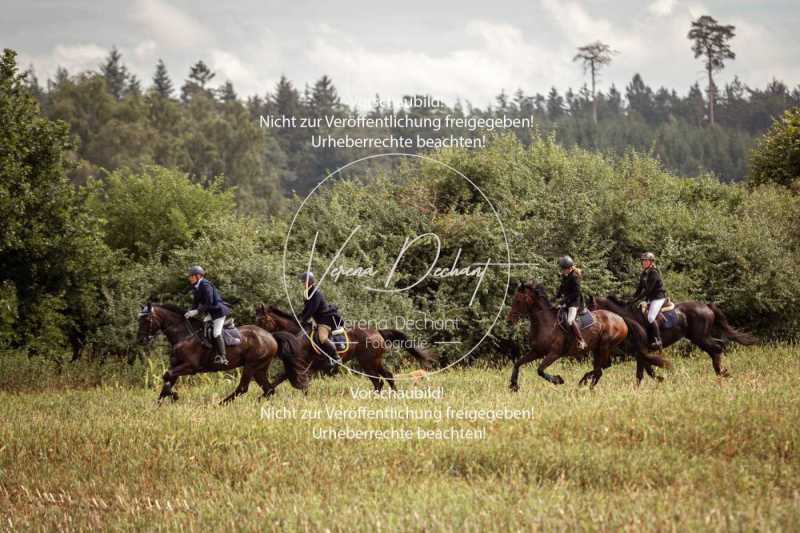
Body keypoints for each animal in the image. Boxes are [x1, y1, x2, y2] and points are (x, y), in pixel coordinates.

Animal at [138, 304, 294, 404]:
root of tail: (270, 336)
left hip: (251, 365)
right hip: (259, 368)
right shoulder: (177, 365)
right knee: (268, 389)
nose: (142, 339)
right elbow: (168, 379)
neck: (184, 335)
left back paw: (221, 403)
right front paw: (159, 403)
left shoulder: (190, 367)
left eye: (147, 320)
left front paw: (174, 396)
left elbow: (168, 376)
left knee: (243, 388)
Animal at [255, 304, 434, 390]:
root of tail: (377, 332)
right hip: (373, 361)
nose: (260, 338)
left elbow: (283, 379)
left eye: (261, 321)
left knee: (379, 381)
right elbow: (277, 380)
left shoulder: (305, 367)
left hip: (368, 362)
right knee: (387, 377)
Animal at [506, 280, 668, 388]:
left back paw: (585, 385)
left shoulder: (554, 354)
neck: (544, 322)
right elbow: (518, 363)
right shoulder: (537, 351)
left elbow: (539, 370)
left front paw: (558, 380)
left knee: (601, 370)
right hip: (601, 348)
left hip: (605, 347)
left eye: (519, 300)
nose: (509, 321)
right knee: (602, 368)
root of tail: (621, 318)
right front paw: (514, 385)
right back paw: (585, 383)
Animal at [588, 294, 756, 376]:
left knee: (716, 348)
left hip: (699, 337)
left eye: (591, 308)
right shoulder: (638, 353)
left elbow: (644, 371)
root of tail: (706, 306)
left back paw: (720, 372)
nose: (590, 324)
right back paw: (721, 372)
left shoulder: (640, 351)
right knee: (718, 346)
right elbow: (645, 371)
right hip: (700, 337)